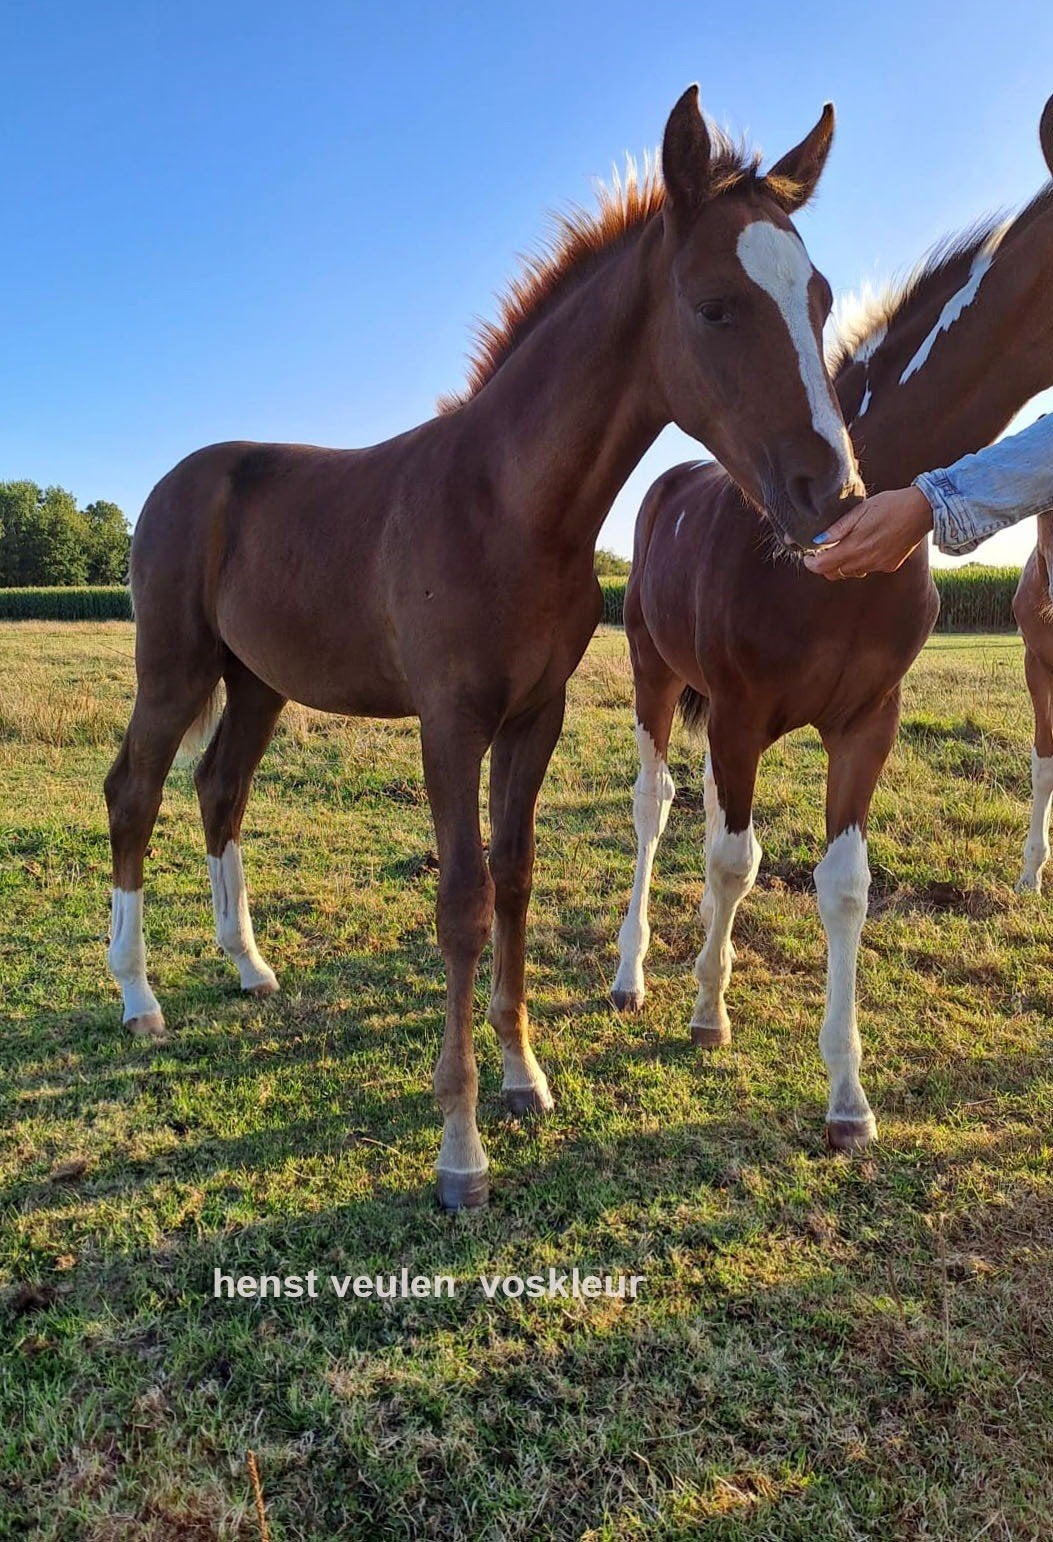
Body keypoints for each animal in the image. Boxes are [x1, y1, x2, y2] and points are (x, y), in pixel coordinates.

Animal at [105, 86, 863, 1208]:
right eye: (715, 306)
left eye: (816, 298)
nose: (832, 494)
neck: (509, 508)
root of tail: (177, 479)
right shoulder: (450, 723)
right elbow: (461, 900)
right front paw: (460, 1149)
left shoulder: (534, 716)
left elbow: (515, 878)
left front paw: (522, 1075)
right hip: (174, 668)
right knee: (137, 791)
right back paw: (139, 996)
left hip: (257, 683)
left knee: (219, 788)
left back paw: (247, 967)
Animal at [612, 92, 1053, 1151]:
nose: (827, 494)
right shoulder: (736, 713)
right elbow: (733, 858)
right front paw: (707, 1010)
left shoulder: (867, 719)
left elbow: (841, 884)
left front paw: (848, 1098)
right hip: (653, 674)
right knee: (654, 807)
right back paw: (631, 972)